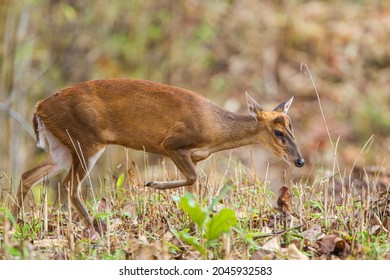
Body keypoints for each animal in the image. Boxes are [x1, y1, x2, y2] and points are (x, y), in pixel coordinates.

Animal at [12, 77, 304, 235]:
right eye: (278, 132)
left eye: (292, 126)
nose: (299, 160)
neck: (214, 129)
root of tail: (39, 107)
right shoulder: (171, 143)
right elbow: (192, 178)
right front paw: (152, 185)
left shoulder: (192, 155)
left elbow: (195, 188)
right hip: (86, 140)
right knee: (69, 186)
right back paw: (97, 229)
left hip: (61, 146)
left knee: (28, 176)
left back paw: (15, 222)